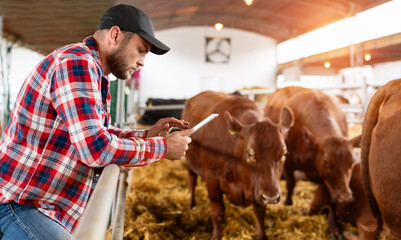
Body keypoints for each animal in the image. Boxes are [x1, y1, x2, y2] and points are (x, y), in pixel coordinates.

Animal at [183, 90, 292, 240]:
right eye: (250, 154)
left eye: (284, 153)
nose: (271, 197)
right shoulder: (212, 180)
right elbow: (218, 213)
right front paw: (216, 236)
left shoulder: (258, 188)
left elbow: (260, 212)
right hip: (190, 162)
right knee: (192, 181)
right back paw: (191, 204)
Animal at [264, 86, 354, 238]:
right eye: (325, 161)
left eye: (352, 162)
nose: (346, 197)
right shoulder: (288, 162)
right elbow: (291, 183)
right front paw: (288, 202)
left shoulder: (329, 181)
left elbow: (331, 199)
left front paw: (333, 226)